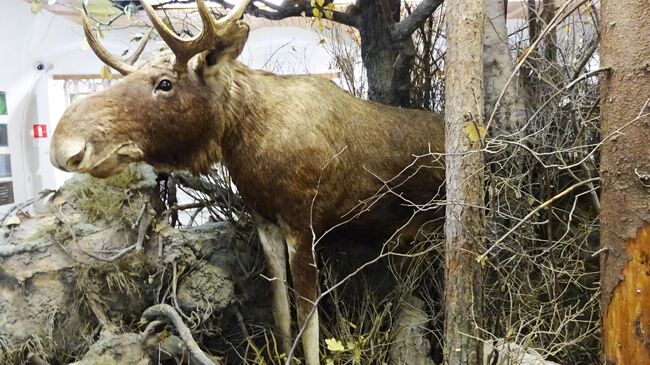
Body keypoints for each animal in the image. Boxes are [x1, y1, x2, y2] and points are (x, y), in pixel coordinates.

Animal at [50, 0, 442, 362]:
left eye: (165, 83)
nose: (64, 144)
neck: (245, 142)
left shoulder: (302, 223)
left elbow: (309, 322)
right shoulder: (264, 219)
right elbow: (281, 312)